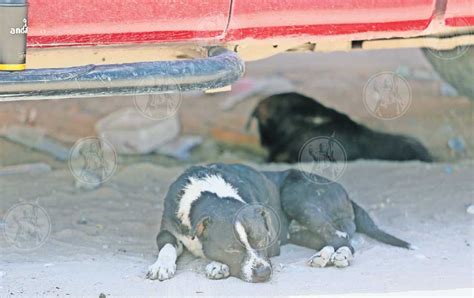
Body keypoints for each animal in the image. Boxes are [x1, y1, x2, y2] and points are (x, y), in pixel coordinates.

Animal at [148, 163, 412, 282]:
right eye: (231, 248)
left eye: (263, 240)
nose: (264, 273)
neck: (210, 194)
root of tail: (346, 194)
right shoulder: (166, 232)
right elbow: (167, 247)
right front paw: (162, 266)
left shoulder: (272, 245)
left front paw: (216, 265)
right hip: (299, 231)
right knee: (331, 237)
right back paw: (324, 255)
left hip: (300, 197)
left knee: (342, 238)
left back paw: (338, 255)